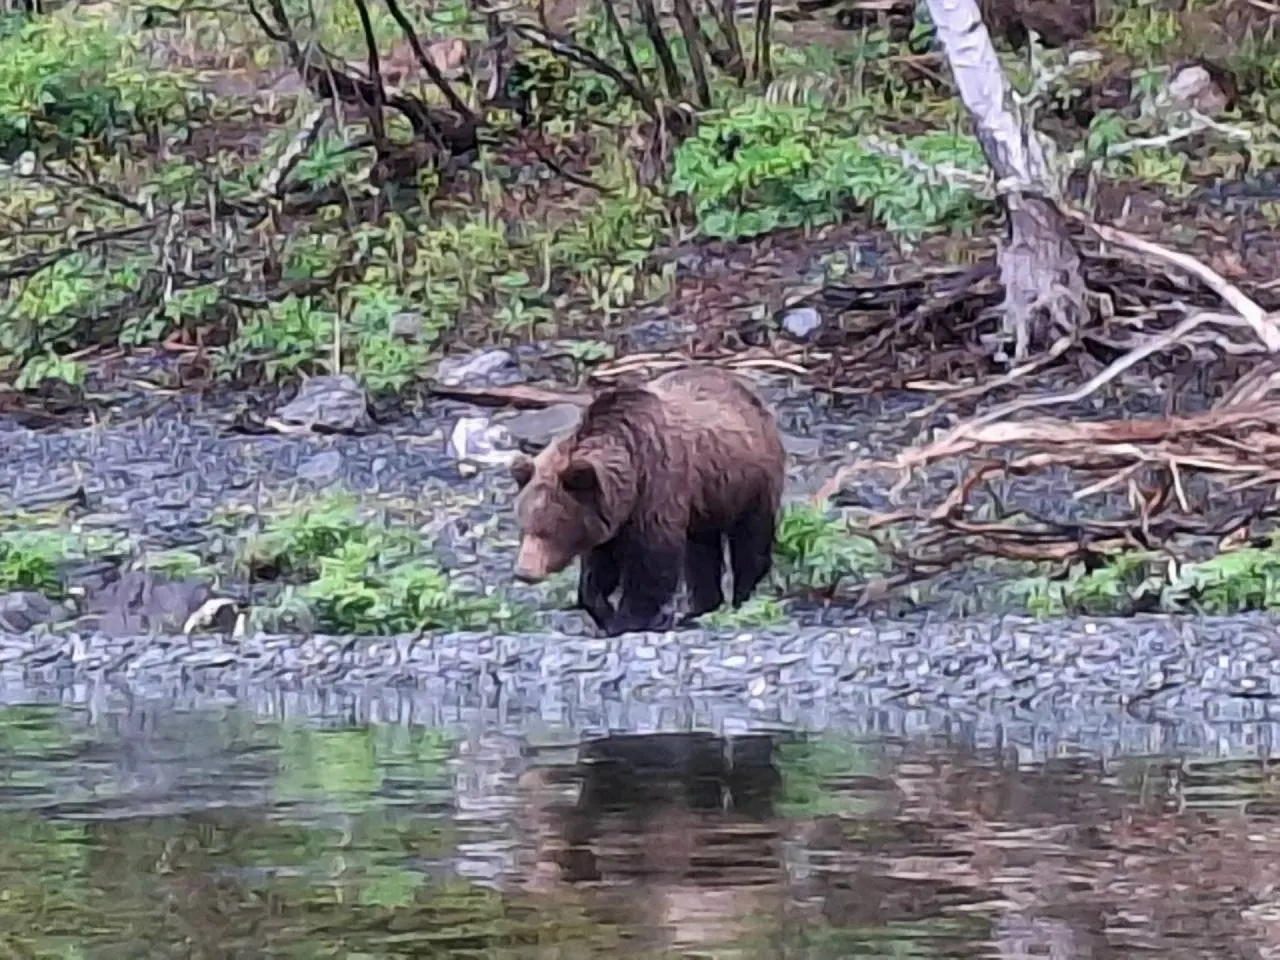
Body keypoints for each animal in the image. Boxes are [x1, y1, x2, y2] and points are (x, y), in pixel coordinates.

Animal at [508, 364, 787, 636]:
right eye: (524, 526)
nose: (524, 572)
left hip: (748, 480)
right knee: (701, 551)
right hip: (706, 501)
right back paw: (699, 609)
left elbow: (652, 562)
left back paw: (741, 598)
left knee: (750, 539)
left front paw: (626, 619)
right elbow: (598, 569)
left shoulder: (657, 488)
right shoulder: (609, 516)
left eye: (549, 530)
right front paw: (602, 610)